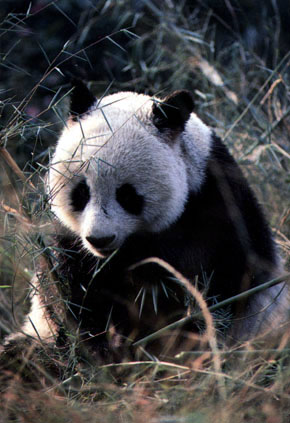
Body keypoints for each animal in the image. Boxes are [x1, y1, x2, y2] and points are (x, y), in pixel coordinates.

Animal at [19, 83, 288, 362]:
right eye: (82, 192)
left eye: (127, 195)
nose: (100, 239)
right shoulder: (71, 242)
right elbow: (68, 288)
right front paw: (97, 347)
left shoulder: (216, 210)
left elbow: (216, 289)